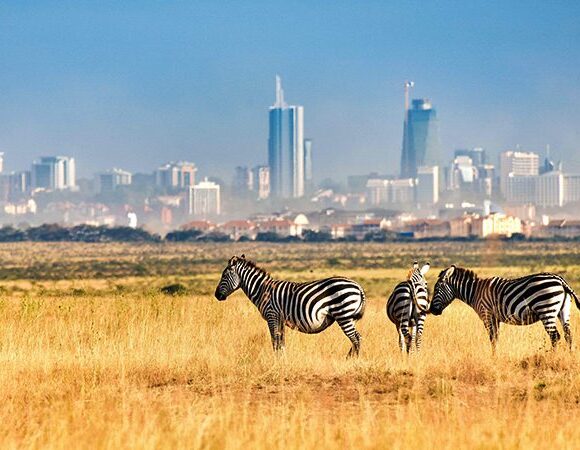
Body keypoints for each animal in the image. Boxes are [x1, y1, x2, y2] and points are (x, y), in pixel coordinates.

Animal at [215, 255, 364, 356]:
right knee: (357, 337)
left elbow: (275, 340)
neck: (262, 289)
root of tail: (358, 287)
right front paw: (282, 358)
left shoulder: (272, 315)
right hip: (349, 317)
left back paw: (350, 360)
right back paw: (350, 358)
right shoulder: (280, 319)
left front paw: (276, 361)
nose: (217, 295)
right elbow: (281, 341)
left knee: (355, 338)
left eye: (224, 276)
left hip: (343, 314)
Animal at [430, 266, 580, 354]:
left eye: (436, 289)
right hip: (563, 311)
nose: (432, 310)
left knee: (555, 336)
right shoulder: (495, 318)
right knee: (568, 335)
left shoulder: (487, 315)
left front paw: (493, 358)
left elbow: (492, 338)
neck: (475, 292)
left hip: (546, 310)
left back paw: (553, 358)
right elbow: (496, 338)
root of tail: (560, 280)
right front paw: (496, 356)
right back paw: (569, 357)